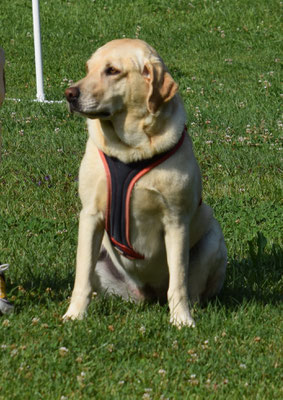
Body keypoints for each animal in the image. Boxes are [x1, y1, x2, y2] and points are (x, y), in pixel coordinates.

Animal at [64, 39, 229, 328]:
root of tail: (149, 293)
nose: (69, 94)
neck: (131, 150)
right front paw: (74, 315)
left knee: (189, 288)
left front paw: (181, 320)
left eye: (112, 70)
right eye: (88, 68)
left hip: (213, 237)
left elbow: (178, 282)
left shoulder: (175, 221)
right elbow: (81, 277)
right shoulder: (90, 215)